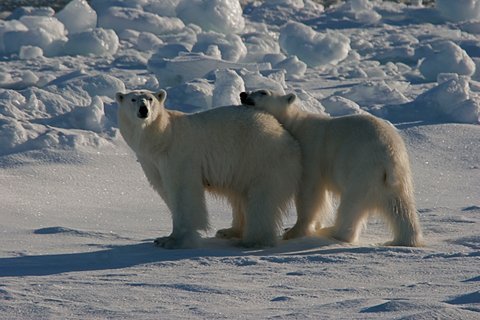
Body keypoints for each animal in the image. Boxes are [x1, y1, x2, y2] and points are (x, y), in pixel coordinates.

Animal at [115, 89, 300, 249]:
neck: (163, 138)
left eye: (150, 99)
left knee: (261, 200)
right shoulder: (151, 162)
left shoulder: (180, 154)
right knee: (240, 197)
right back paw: (229, 231)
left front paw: (175, 240)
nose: (143, 110)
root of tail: (286, 135)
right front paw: (164, 238)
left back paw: (252, 241)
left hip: (261, 160)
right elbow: (165, 190)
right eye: (133, 99)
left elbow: (183, 191)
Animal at [242, 89, 422, 246]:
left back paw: (332, 232)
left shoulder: (310, 152)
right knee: (401, 208)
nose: (243, 94)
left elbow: (309, 192)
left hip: (362, 169)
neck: (295, 126)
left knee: (351, 204)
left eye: (263, 92)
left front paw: (293, 231)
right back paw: (407, 239)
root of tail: (389, 157)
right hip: (396, 180)